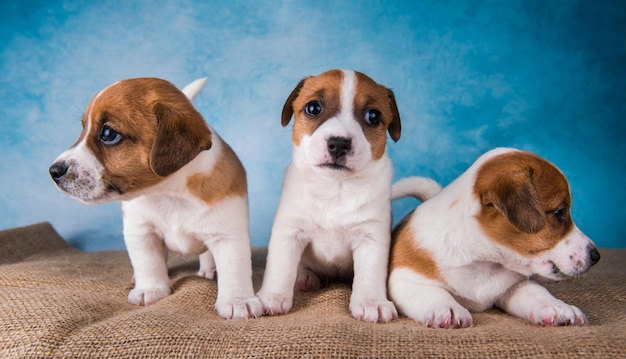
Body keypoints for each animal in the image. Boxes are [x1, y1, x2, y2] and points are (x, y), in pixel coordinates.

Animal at [48, 77, 260, 320]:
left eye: (108, 134)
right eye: (84, 128)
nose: (54, 171)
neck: (169, 193)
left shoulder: (227, 234)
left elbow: (234, 270)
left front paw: (238, 301)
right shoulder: (141, 232)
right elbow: (148, 263)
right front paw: (150, 289)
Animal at [256, 69, 402, 324]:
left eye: (373, 116)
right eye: (313, 108)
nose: (339, 144)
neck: (336, 189)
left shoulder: (371, 237)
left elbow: (370, 273)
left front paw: (371, 303)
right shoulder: (289, 232)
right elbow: (280, 267)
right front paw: (272, 296)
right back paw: (304, 277)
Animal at [390, 148, 600, 330]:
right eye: (559, 213)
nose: (596, 256)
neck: (485, 261)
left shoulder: (515, 284)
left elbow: (536, 292)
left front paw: (557, 307)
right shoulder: (403, 279)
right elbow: (434, 291)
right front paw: (448, 308)